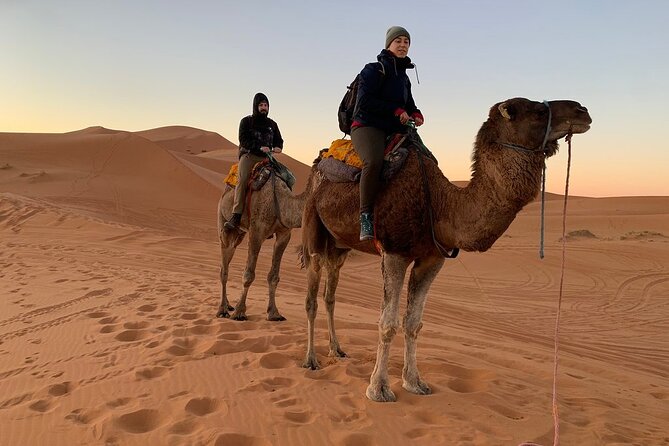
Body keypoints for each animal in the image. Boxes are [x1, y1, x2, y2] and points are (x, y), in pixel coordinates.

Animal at [218, 160, 314, 320]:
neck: (280, 201)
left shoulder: (284, 235)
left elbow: (273, 276)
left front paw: (274, 313)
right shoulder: (256, 231)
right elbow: (249, 274)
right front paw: (240, 312)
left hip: (239, 233)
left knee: (230, 253)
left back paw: (228, 305)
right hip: (223, 222)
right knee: (224, 269)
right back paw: (223, 310)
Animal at [298, 96, 588, 400]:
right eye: (539, 111)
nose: (583, 111)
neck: (440, 204)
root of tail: (319, 162)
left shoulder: (432, 258)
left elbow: (413, 323)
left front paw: (415, 382)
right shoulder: (394, 252)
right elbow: (387, 323)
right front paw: (378, 389)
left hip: (339, 246)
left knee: (330, 295)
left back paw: (337, 349)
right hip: (313, 225)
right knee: (311, 297)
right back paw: (311, 360)